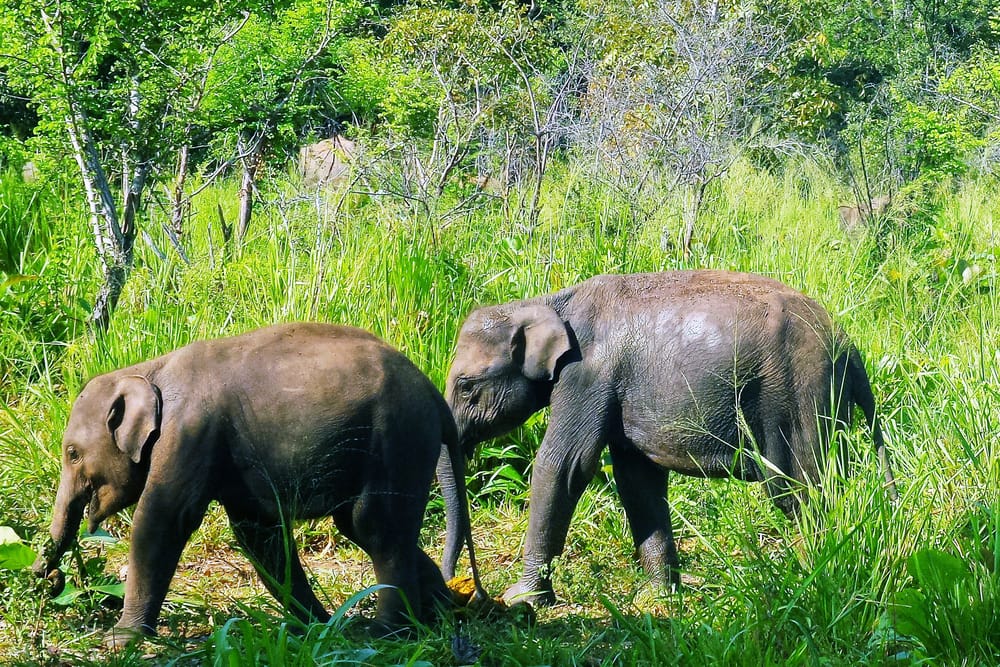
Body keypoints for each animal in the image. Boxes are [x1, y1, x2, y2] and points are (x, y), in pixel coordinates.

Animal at [32, 322, 486, 647]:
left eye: (72, 453)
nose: (46, 578)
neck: (148, 369)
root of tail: (435, 396)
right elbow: (258, 535)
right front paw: (317, 629)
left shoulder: (191, 433)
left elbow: (162, 520)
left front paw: (118, 641)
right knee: (368, 529)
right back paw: (438, 615)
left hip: (396, 439)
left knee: (377, 529)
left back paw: (385, 633)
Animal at [440, 271, 898, 607]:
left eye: (466, 386)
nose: (463, 590)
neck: (548, 302)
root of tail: (846, 342)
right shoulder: (615, 390)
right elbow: (636, 480)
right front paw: (657, 597)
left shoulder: (587, 375)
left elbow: (564, 466)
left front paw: (522, 599)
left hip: (799, 394)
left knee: (801, 489)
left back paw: (813, 574)